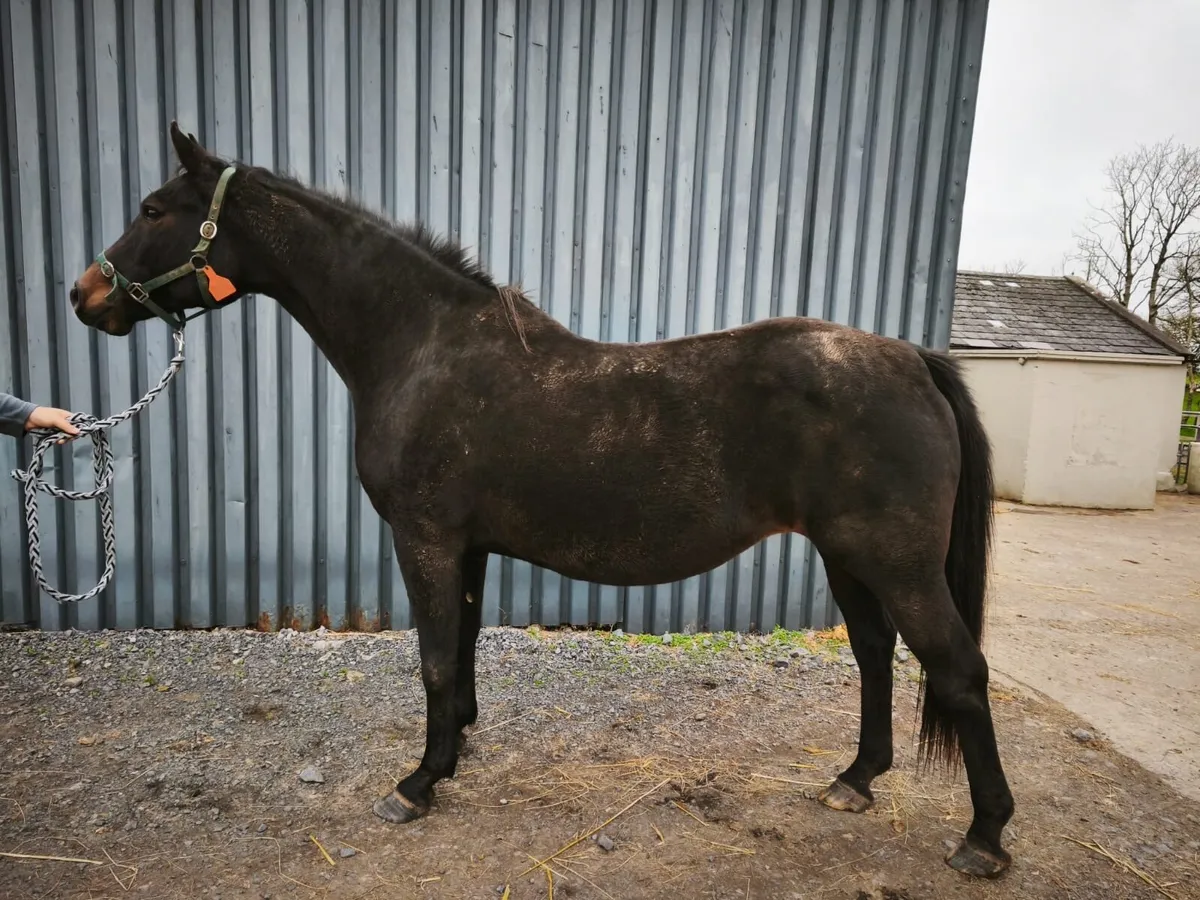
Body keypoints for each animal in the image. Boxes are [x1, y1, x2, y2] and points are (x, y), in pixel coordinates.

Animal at [69, 122, 1014, 878]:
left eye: (154, 208)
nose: (85, 294)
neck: (422, 347)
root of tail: (912, 359)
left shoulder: (426, 538)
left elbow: (435, 659)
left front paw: (416, 784)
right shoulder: (471, 546)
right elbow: (463, 654)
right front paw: (454, 749)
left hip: (895, 561)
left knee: (959, 671)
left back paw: (984, 838)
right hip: (848, 555)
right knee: (875, 656)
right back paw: (854, 781)